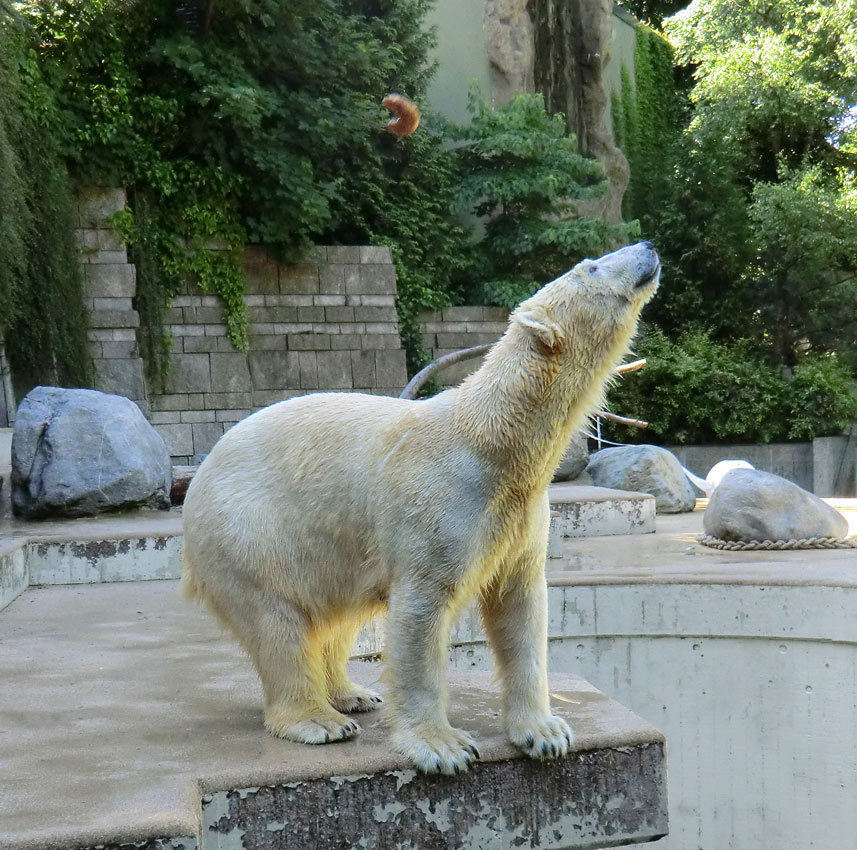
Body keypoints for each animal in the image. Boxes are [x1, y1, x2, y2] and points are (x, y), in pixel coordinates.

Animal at [182, 242, 664, 772]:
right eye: (590, 267)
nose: (647, 247)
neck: (493, 442)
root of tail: (199, 476)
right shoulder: (438, 505)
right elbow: (420, 614)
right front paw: (442, 746)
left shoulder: (519, 514)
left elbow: (522, 608)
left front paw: (545, 733)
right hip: (247, 532)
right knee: (277, 621)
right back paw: (320, 720)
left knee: (334, 617)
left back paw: (352, 694)